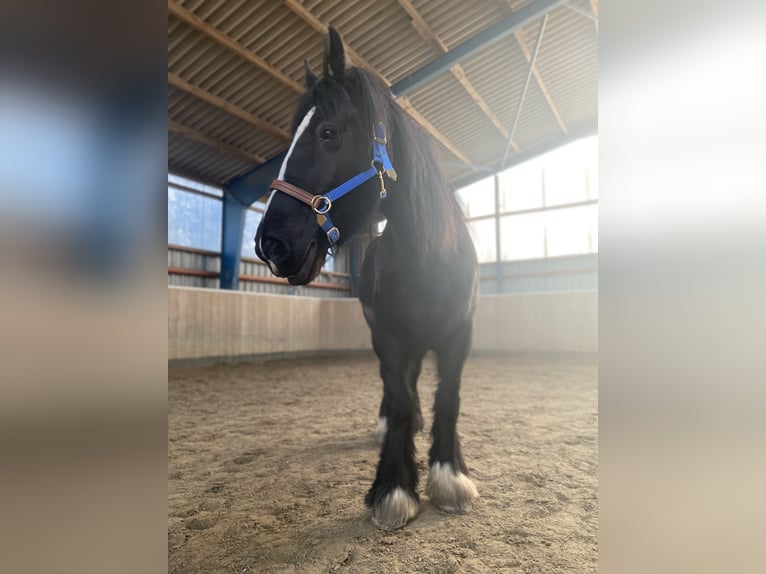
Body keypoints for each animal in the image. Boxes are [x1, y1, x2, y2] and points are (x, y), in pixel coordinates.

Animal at [255, 25, 476, 532]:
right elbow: (398, 399)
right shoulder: (390, 336)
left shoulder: (459, 333)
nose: (270, 244)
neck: (430, 258)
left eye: (328, 132)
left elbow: (448, 397)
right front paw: (394, 489)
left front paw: (449, 478)